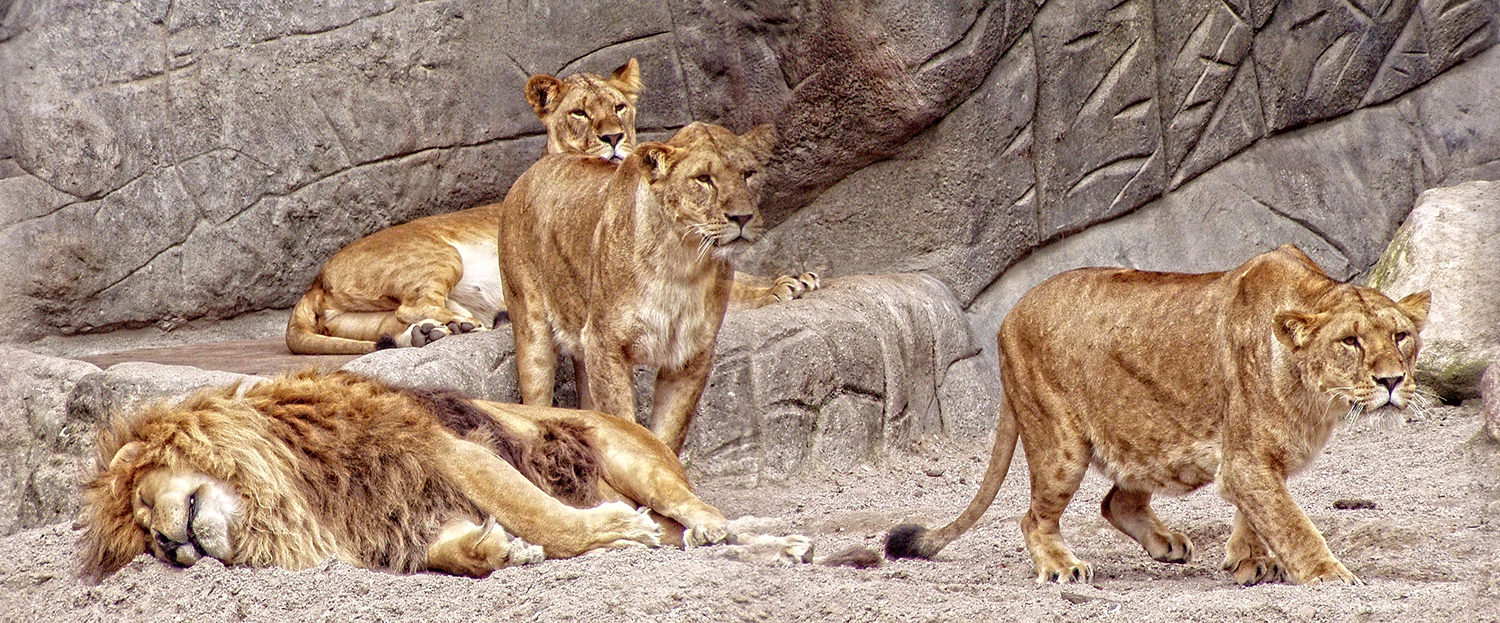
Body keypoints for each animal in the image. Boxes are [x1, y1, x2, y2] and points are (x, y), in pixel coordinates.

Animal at [76, 370, 816, 579]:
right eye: (145, 541)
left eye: (142, 506)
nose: (167, 544)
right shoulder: (395, 523)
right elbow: (452, 552)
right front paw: (500, 550)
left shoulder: (450, 450)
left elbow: (544, 514)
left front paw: (607, 531)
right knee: (685, 532)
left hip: (635, 459)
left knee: (708, 515)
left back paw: (774, 541)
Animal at [882, 246, 1434, 588]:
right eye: (1351, 341)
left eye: (1401, 336)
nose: (1392, 381)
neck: (1318, 397)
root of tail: (1009, 316)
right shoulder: (1247, 460)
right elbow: (1292, 522)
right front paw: (1328, 575)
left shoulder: (1249, 461)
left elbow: (1257, 513)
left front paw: (1249, 559)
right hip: (1061, 444)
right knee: (1034, 516)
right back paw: (1063, 567)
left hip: (1150, 442)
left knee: (1115, 501)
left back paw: (1166, 544)